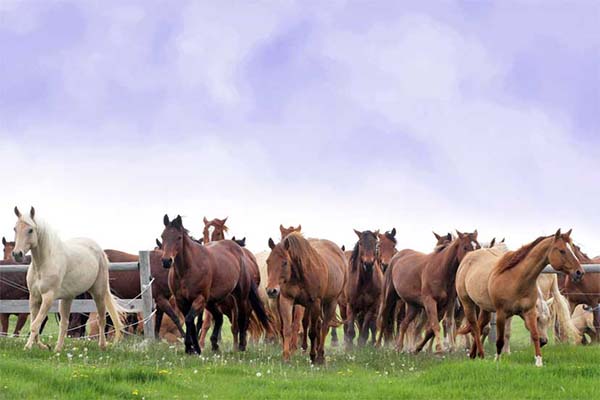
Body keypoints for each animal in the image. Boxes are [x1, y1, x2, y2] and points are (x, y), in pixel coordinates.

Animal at [12, 206, 125, 350]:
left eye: (30, 230)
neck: (43, 264)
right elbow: (35, 323)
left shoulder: (48, 298)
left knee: (101, 319)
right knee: (65, 323)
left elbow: (35, 325)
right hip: (67, 298)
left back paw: (102, 346)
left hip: (98, 293)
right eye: (15, 228)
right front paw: (43, 346)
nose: (17, 254)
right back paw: (57, 349)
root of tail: (99, 250)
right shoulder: (34, 297)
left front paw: (27, 347)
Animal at [162, 214, 270, 354]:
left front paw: (195, 348)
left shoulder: (200, 299)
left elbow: (190, 320)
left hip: (240, 297)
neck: (187, 270)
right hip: (212, 302)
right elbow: (190, 321)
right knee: (219, 317)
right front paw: (190, 348)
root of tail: (242, 253)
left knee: (242, 318)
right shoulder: (181, 301)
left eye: (179, 237)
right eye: (163, 236)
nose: (166, 261)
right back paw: (215, 345)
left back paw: (241, 346)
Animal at [264, 233, 344, 364]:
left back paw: (320, 356)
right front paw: (286, 357)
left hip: (331, 302)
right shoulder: (286, 300)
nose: (271, 291)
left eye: (285, 263)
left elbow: (313, 332)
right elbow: (287, 329)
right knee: (312, 324)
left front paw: (313, 356)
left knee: (324, 327)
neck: (298, 276)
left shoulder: (315, 302)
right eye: (268, 261)